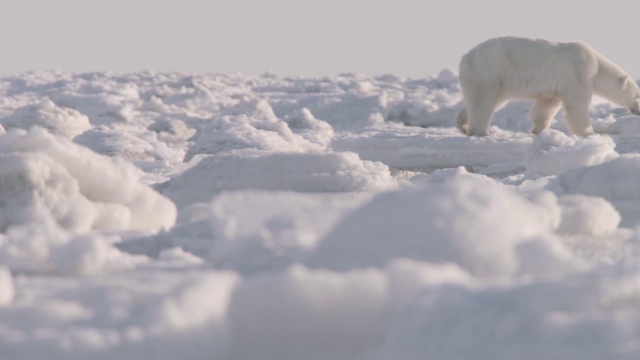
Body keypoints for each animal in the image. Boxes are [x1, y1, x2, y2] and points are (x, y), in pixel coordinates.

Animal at [456, 37, 640, 136]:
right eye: (638, 95)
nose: (638, 111)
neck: (596, 65)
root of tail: (465, 57)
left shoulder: (555, 89)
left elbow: (546, 105)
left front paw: (538, 129)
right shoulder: (578, 74)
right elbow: (577, 106)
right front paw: (589, 133)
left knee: (479, 101)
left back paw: (463, 124)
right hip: (489, 71)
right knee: (483, 102)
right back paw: (479, 131)